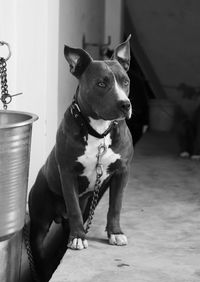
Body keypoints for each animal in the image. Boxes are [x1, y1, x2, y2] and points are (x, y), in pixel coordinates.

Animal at [28, 34, 134, 278]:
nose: (125, 104)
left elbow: (116, 206)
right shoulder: (67, 173)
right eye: (101, 83)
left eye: (125, 82)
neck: (98, 131)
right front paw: (78, 238)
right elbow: (74, 208)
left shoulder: (122, 172)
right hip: (39, 223)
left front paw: (115, 233)